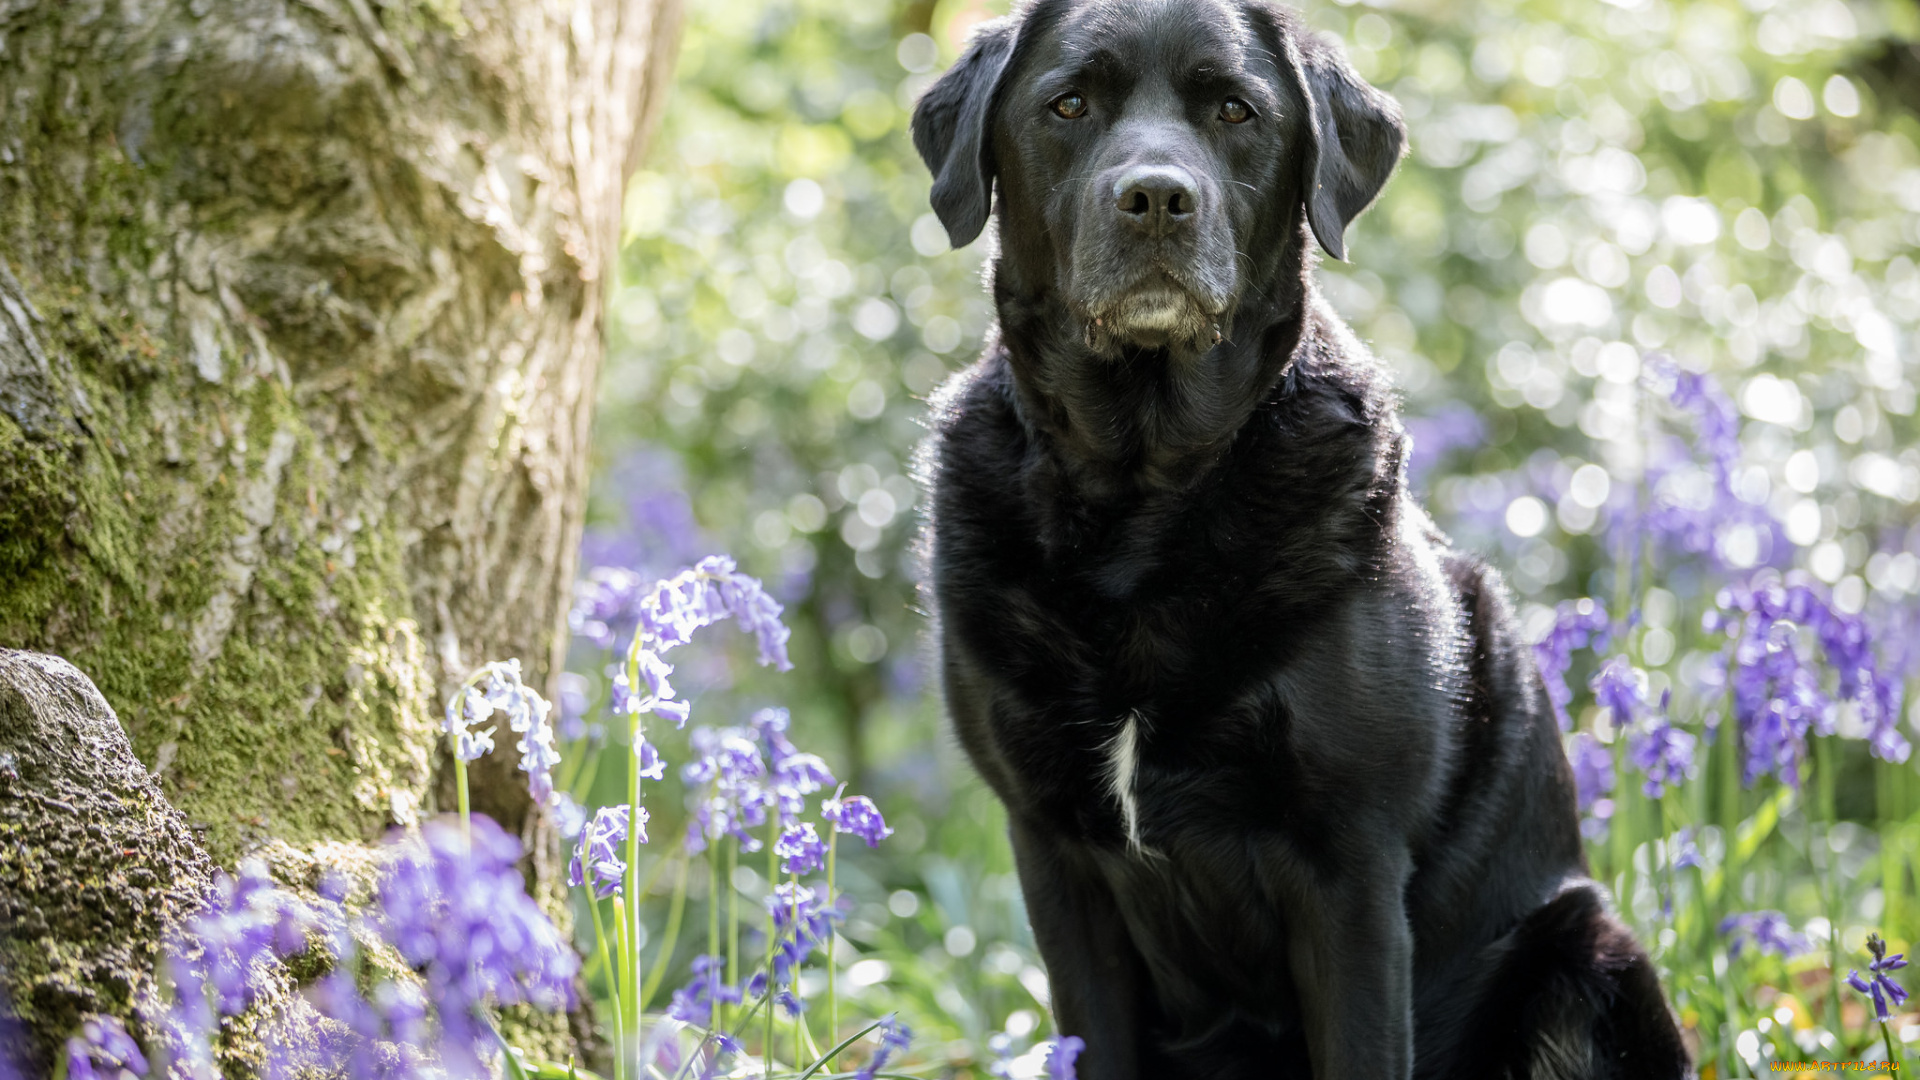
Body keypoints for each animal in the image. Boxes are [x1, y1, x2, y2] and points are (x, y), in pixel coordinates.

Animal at [913, 2, 1697, 1076]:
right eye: (1068, 104)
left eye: (1236, 111)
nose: (1156, 199)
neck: (1143, 493)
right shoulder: (1054, 854)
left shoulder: (1349, 869)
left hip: (1582, 954)